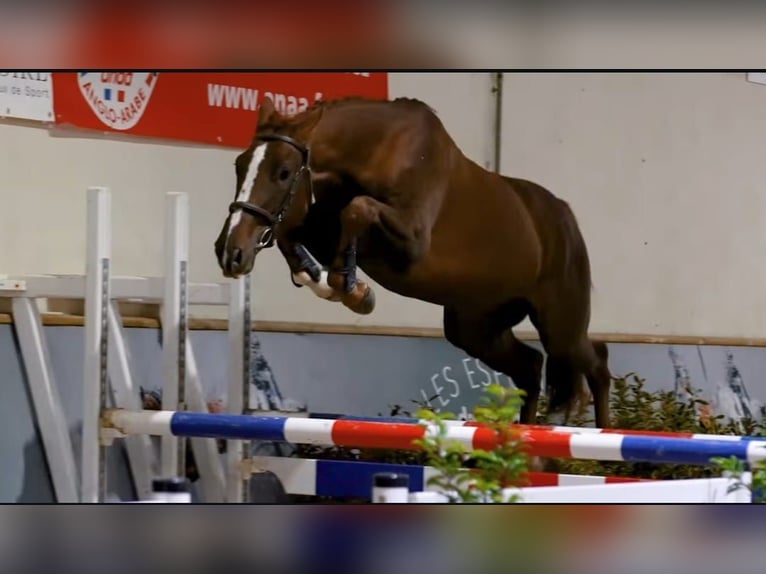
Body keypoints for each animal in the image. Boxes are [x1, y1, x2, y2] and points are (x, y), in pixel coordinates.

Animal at [213, 95, 616, 428]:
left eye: (283, 172)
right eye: (238, 165)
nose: (228, 252)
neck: (377, 153)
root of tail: (565, 217)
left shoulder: (412, 241)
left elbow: (358, 209)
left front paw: (351, 288)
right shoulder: (318, 226)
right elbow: (291, 233)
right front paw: (329, 281)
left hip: (559, 323)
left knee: (595, 362)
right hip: (476, 327)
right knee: (531, 368)